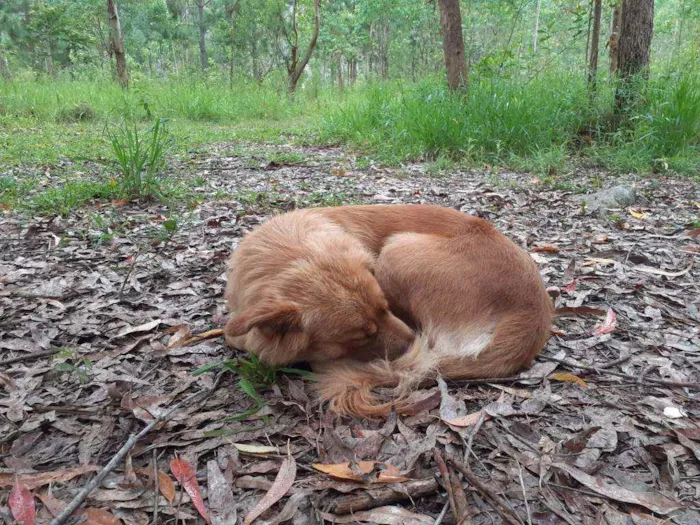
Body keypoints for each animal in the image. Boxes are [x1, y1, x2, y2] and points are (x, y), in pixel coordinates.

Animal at [224, 203, 552, 416]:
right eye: (362, 336)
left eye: (385, 308)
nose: (412, 344)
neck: (286, 252)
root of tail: (533, 311)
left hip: (396, 250)